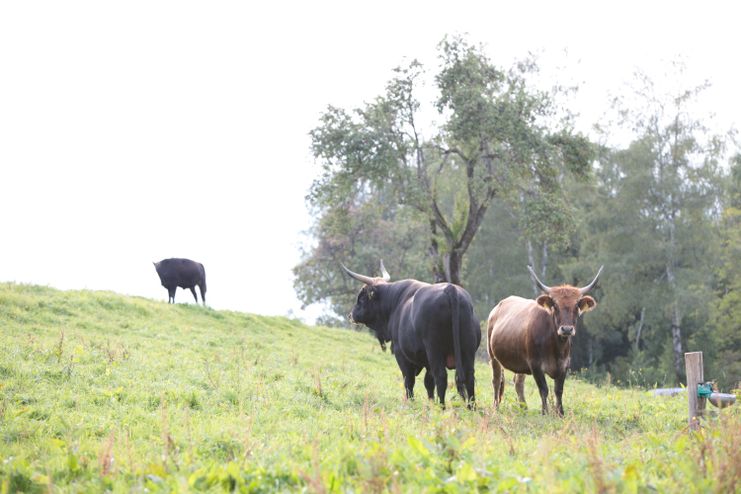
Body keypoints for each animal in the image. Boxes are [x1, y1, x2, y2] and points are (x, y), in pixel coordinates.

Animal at [342, 260, 480, 408]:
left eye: (361, 298)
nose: (351, 315)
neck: (395, 302)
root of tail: (450, 289)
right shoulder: (426, 361)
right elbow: (428, 382)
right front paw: (430, 402)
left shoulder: (401, 354)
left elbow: (409, 380)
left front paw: (411, 403)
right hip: (467, 350)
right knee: (469, 377)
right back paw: (471, 407)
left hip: (434, 350)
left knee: (441, 376)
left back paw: (442, 407)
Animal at [486, 264, 600, 414]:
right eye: (555, 305)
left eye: (576, 306)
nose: (567, 329)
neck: (556, 347)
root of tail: (498, 307)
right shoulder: (535, 365)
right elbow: (544, 390)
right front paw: (545, 412)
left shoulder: (564, 365)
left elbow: (558, 390)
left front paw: (560, 413)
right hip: (493, 356)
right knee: (497, 380)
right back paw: (496, 407)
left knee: (518, 382)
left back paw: (524, 408)